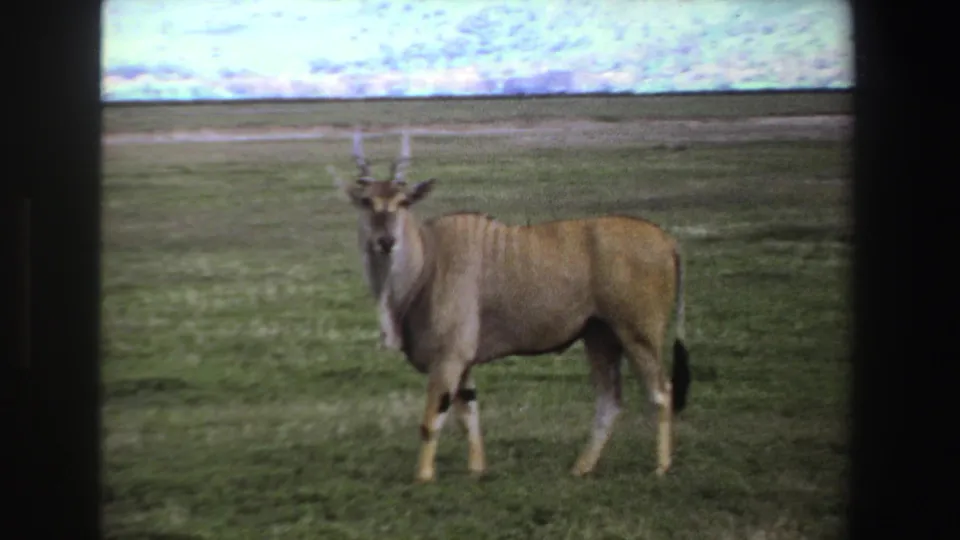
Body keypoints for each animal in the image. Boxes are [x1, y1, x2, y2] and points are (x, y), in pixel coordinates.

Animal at [329, 130, 691, 483]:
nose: (385, 241)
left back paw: (661, 467)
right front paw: (477, 471)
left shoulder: (448, 359)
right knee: (610, 400)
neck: (428, 260)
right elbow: (469, 416)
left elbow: (431, 421)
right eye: (366, 201)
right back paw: (581, 468)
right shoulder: (463, 364)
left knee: (662, 391)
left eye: (403, 201)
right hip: (600, 336)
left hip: (637, 335)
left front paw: (423, 478)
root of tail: (668, 241)